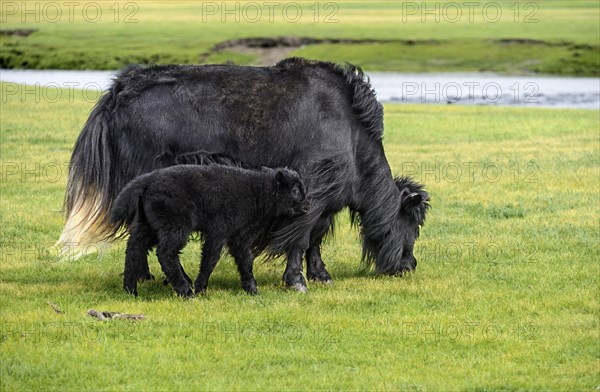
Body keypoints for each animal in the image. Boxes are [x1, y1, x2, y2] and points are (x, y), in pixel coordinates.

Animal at [108, 165, 312, 298]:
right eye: (295, 190)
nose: (307, 206)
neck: (257, 191)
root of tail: (146, 181)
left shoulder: (239, 236)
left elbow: (246, 261)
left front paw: (252, 290)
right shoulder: (218, 231)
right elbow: (210, 259)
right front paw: (200, 288)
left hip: (147, 224)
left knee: (134, 249)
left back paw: (130, 290)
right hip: (175, 225)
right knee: (165, 253)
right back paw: (185, 291)